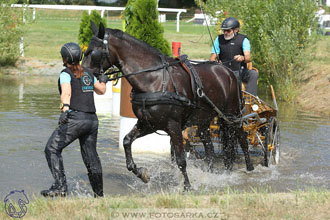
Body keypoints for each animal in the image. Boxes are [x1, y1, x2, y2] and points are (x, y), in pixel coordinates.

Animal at [82, 20, 253, 190]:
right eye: (86, 51)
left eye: (94, 53)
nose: (83, 75)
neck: (154, 79)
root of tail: (227, 71)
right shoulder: (148, 123)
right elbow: (126, 141)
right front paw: (141, 173)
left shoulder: (174, 126)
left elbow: (181, 159)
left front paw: (187, 186)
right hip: (203, 120)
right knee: (210, 149)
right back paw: (210, 175)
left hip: (232, 115)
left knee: (242, 139)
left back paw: (250, 168)